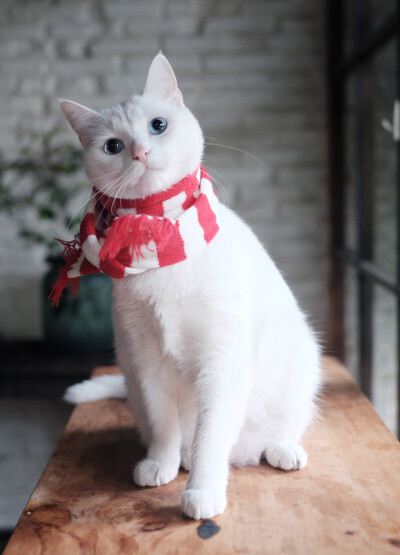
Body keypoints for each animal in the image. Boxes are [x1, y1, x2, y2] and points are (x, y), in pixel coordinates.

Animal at [61, 52, 322, 520]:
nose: (141, 151)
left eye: (157, 125)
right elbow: (164, 423)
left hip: (302, 367)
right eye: (113, 147)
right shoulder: (147, 360)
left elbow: (210, 437)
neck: (160, 236)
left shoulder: (222, 361)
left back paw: (281, 449)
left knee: (281, 426)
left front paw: (202, 490)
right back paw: (177, 457)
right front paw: (161, 463)